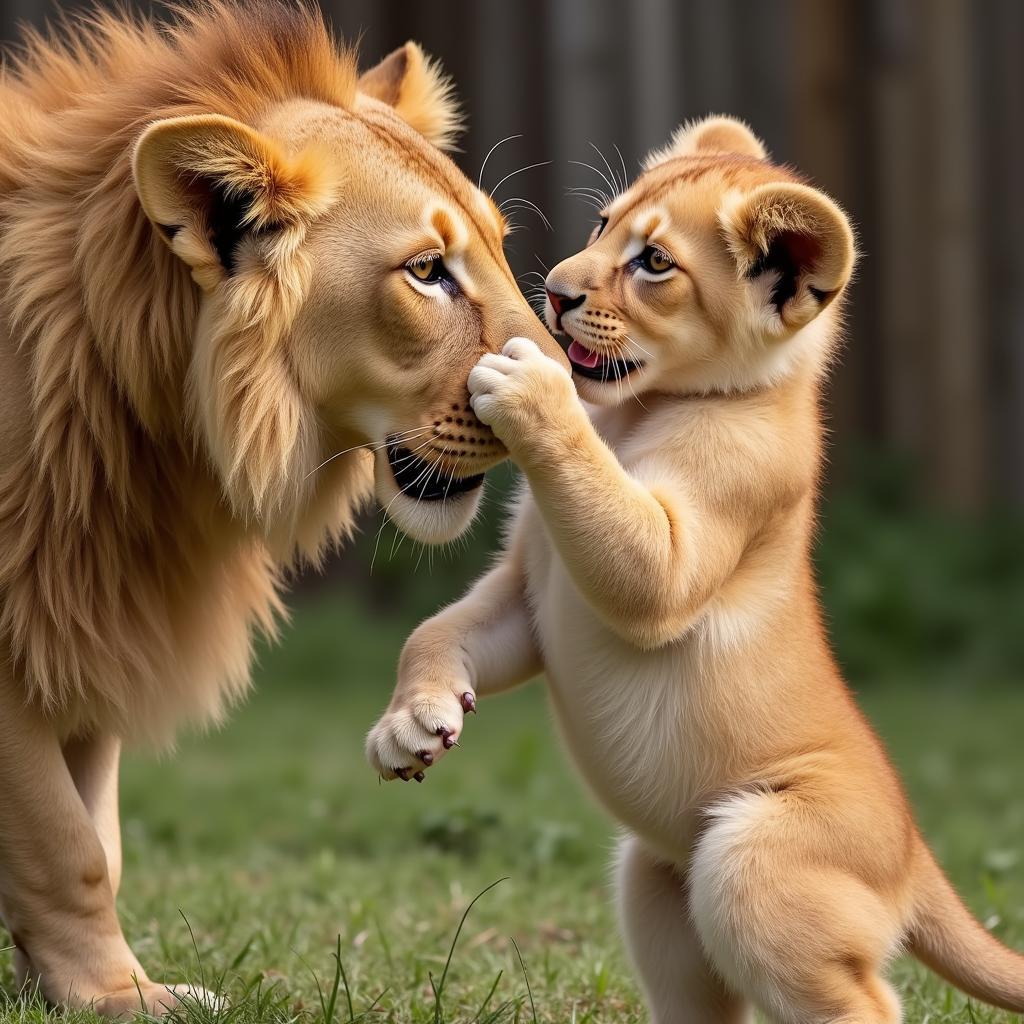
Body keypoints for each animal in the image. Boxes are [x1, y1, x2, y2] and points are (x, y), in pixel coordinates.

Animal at [0, 0, 561, 1011]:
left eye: (497, 247)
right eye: (427, 271)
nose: (568, 383)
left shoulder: (84, 622)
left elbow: (92, 829)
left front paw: (62, 992)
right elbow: (65, 844)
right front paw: (122, 1000)